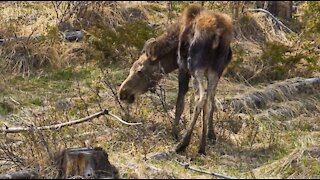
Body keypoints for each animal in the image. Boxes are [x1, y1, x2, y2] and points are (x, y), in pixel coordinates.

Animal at [117, 4, 232, 154]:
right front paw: (211, 135)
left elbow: (179, 104)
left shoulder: (183, 68)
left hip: (195, 67)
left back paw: (183, 143)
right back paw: (202, 146)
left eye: (139, 71)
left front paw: (174, 133)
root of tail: (217, 35)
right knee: (208, 101)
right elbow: (212, 103)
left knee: (200, 98)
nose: (122, 93)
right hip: (215, 70)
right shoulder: (216, 73)